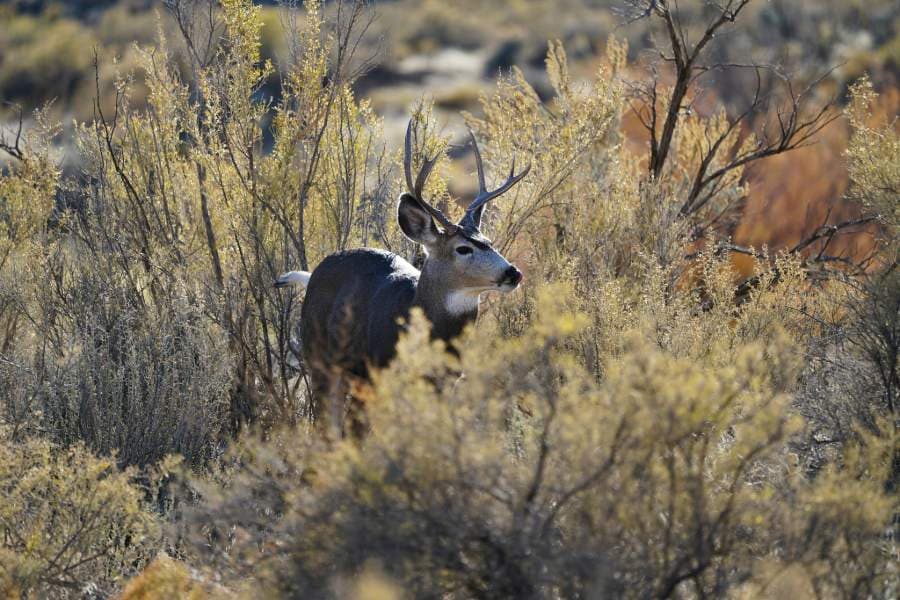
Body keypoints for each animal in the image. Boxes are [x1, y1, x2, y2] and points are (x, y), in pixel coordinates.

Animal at [275, 118, 530, 437]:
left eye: (490, 242)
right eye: (463, 248)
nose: (513, 272)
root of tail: (312, 275)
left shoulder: (445, 382)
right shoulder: (371, 372)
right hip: (323, 361)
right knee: (330, 425)